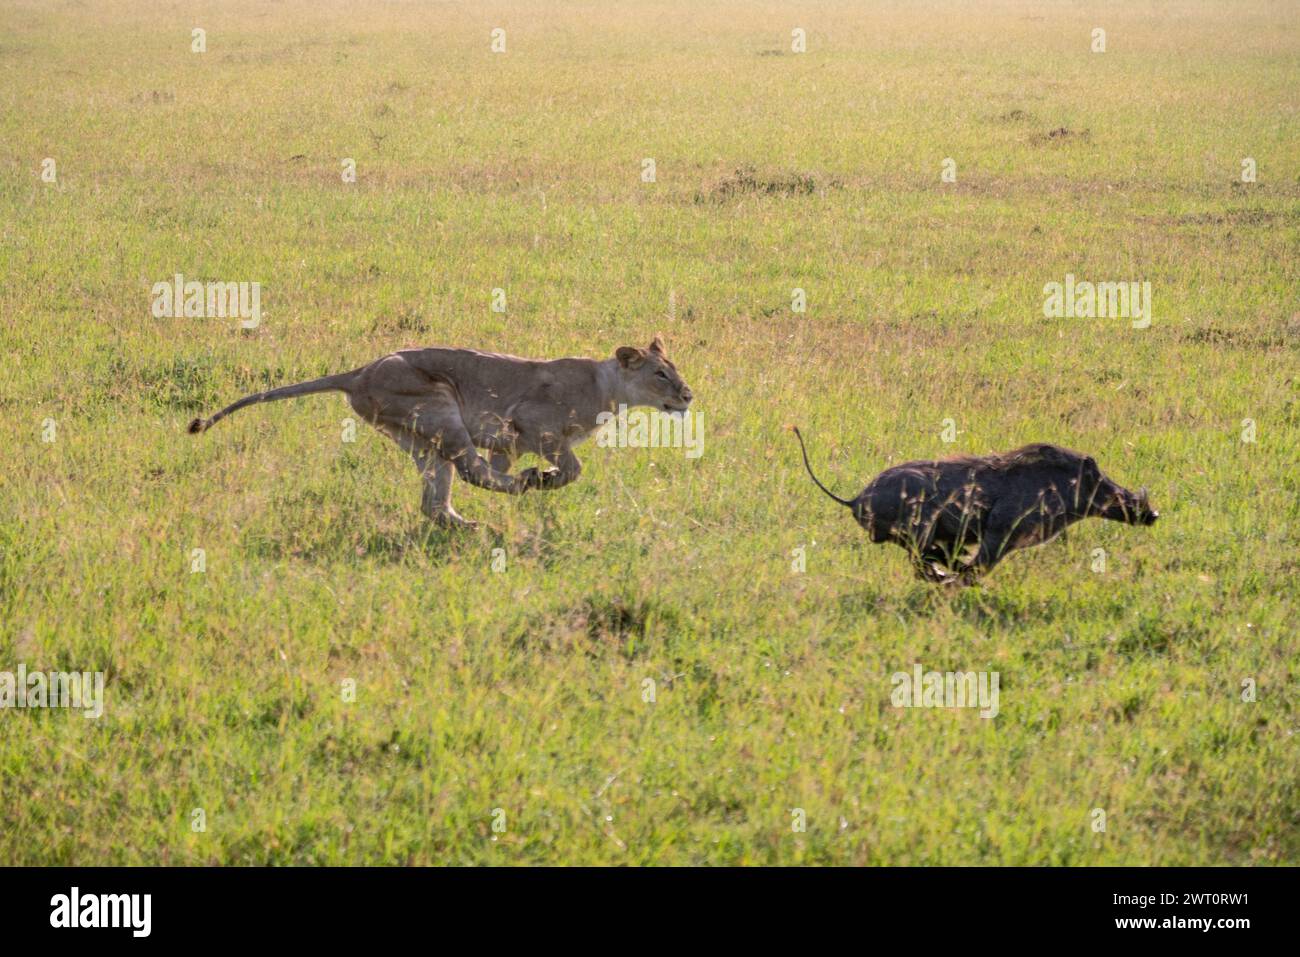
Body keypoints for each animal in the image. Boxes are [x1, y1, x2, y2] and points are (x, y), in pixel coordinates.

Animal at [188, 336, 694, 528]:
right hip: (439, 407)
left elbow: (507, 460)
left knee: (435, 500)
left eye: (673, 371)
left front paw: (537, 478)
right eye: (661, 374)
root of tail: (359, 372)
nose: (688, 395)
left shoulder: (507, 440)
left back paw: (469, 524)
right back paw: (524, 485)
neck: (609, 388)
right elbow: (574, 467)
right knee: (469, 470)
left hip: (422, 440)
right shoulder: (533, 424)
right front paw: (547, 478)